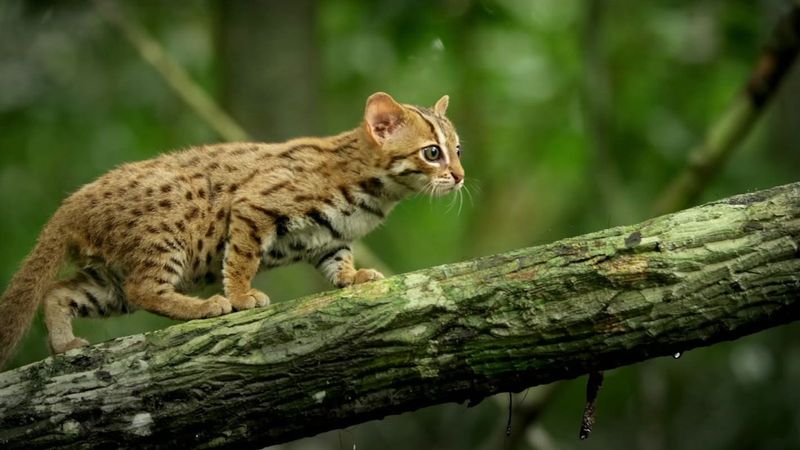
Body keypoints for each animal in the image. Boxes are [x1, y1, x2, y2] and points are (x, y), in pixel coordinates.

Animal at [0, 93, 462, 368]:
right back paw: (206, 306)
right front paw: (241, 297)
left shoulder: (330, 240)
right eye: (432, 153)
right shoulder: (253, 206)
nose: (459, 176)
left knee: (58, 291)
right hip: (168, 233)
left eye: (457, 150)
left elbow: (338, 261)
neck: (377, 193)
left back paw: (63, 345)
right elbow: (241, 257)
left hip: (108, 280)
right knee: (144, 288)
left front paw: (353, 277)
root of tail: (74, 202)